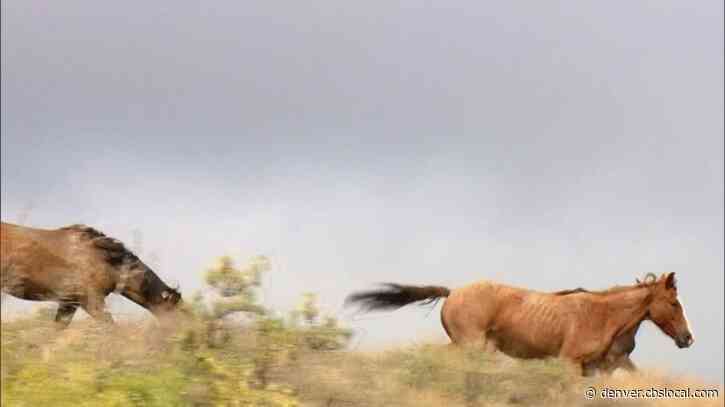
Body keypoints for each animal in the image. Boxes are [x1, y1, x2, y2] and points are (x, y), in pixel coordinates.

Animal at [345, 272, 694, 376]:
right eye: (674, 303)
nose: (688, 339)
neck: (601, 316)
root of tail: (453, 292)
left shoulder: (600, 367)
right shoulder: (571, 362)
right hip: (471, 346)